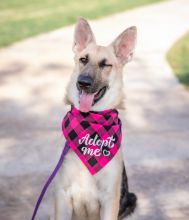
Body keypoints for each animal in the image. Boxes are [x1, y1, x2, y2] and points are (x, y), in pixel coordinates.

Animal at [53, 17, 137, 220]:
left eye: (105, 65)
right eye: (83, 60)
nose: (83, 82)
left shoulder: (109, 200)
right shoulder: (62, 196)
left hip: (131, 200)